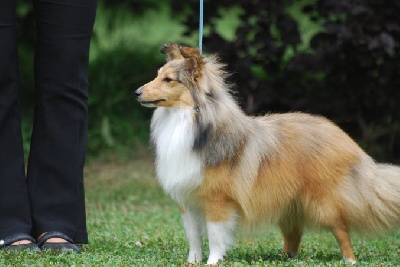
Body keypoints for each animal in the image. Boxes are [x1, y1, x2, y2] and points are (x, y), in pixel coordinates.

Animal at [135, 43, 400, 264]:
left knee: (341, 230)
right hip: (289, 201)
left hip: (323, 202)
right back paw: (284, 258)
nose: (137, 92)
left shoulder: (217, 201)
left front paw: (213, 261)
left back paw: (349, 260)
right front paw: (192, 262)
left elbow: (215, 235)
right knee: (294, 234)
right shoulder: (186, 201)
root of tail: (344, 137)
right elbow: (193, 237)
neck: (187, 121)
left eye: (168, 79)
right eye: (157, 75)